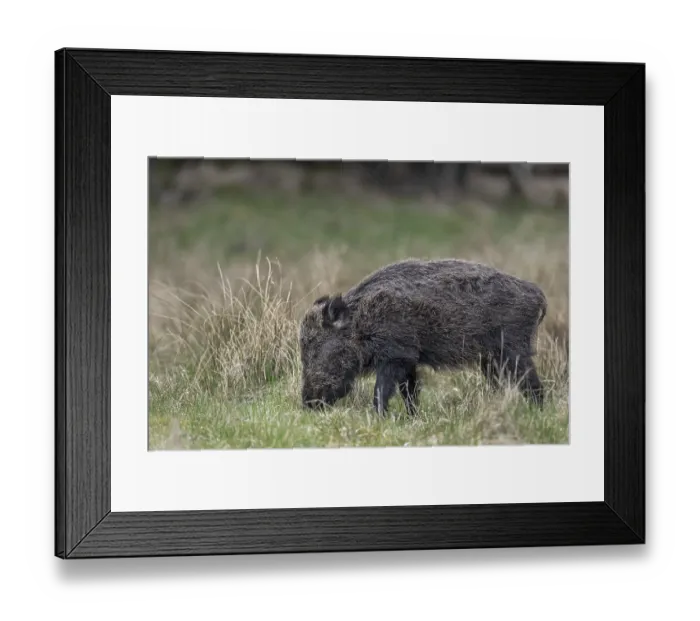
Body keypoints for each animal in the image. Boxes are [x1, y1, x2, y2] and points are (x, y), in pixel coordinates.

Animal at [299, 258, 547, 415]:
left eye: (316, 347)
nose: (307, 404)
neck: (362, 322)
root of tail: (538, 294)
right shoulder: (409, 359)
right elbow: (409, 392)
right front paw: (412, 418)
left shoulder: (396, 354)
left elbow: (382, 389)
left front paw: (378, 417)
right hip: (492, 359)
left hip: (513, 349)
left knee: (533, 384)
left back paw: (539, 413)